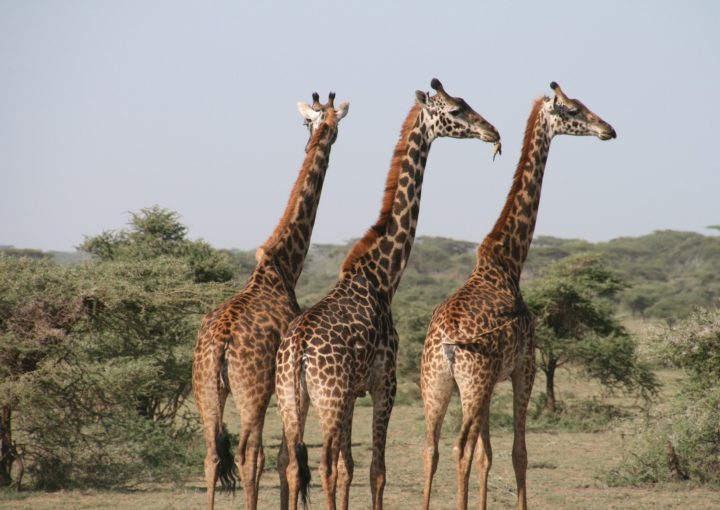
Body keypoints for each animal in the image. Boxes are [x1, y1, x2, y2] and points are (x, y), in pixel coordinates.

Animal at [191, 91, 348, 510]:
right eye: (324, 123)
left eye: (312, 121)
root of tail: (221, 343)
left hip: (205, 389)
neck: (283, 266)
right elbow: (284, 457)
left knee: (211, 454)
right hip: (253, 392)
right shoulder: (284, 388)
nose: (322, 138)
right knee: (250, 453)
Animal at [274, 79, 500, 510]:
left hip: (293, 401)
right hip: (328, 399)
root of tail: (297, 350)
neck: (382, 275)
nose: (493, 131)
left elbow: (350, 467)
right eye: (457, 109)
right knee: (322, 465)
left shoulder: (353, 393)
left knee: (293, 464)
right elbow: (375, 470)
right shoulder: (385, 382)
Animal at [420, 81, 616, 508]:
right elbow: (518, 452)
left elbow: (488, 455)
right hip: (472, 382)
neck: (508, 261)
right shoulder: (523, 367)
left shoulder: (494, 379)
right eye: (573, 110)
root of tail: (445, 344)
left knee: (432, 449)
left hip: (436, 385)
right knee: (460, 448)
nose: (608, 129)